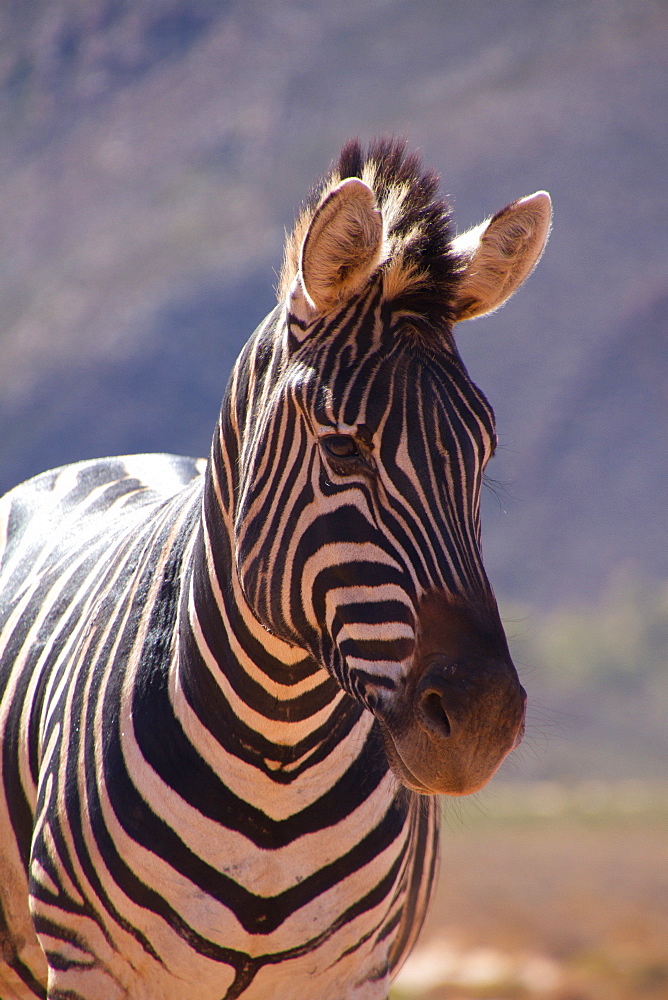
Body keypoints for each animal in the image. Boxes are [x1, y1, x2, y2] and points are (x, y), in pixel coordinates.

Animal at [0, 141, 552, 1000]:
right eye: (343, 448)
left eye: (483, 453)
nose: (481, 724)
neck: (277, 754)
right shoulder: (91, 970)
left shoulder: (352, 974)